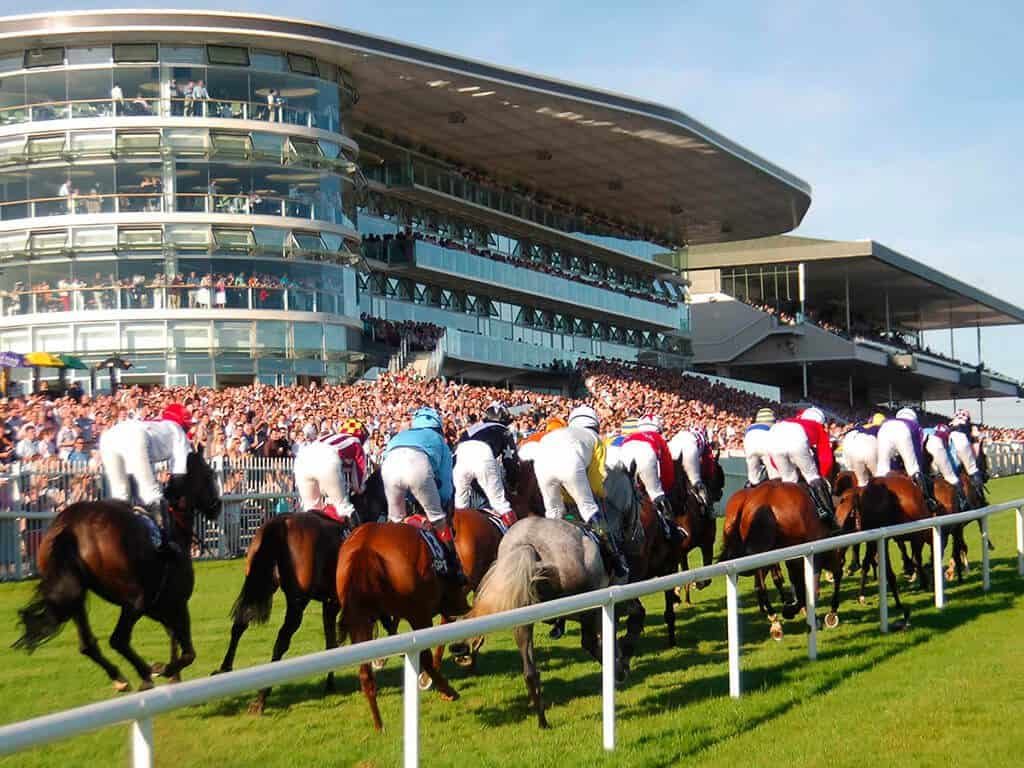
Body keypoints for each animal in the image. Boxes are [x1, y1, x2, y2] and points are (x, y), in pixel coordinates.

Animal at [12, 454, 222, 696]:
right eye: (209, 475)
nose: (218, 505)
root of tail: (70, 527)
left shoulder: (158, 607)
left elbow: (172, 636)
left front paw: (173, 675)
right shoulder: (176, 603)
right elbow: (188, 651)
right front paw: (167, 670)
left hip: (76, 596)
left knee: (88, 644)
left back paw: (120, 677)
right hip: (135, 599)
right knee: (118, 640)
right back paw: (145, 674)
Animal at [466, 466, 638, 729]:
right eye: (639, 495)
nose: (636, 532)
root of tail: (526, 544)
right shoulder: (605, 599)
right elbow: (614, 632)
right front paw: (621, 665)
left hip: (522, 619)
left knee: (530, 671)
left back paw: (542, 718)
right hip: (584, 605)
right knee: (587, 642)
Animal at [716, 481, 843, 643]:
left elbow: (800, 586)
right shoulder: (812, 554)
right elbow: (812, 588)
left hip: (761, 552)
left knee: (759, 585)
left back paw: (774, 620)